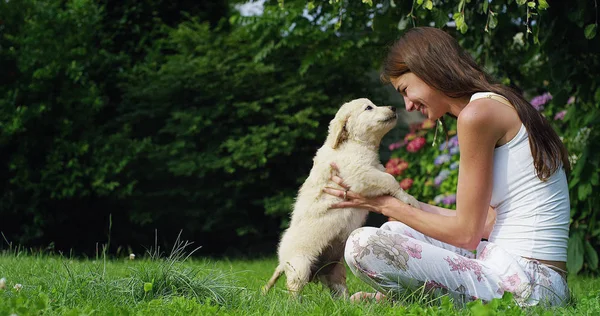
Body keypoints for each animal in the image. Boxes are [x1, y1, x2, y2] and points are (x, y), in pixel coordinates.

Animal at [262, 98, 422, 298]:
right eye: (368, 108)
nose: (393, 108)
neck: (354, 143)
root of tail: (282, 262)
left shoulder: (373, 169)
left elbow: (387, 175)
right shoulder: (360, 174)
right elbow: (389, 179)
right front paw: (409, 199)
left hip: (335, 269)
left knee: (339, 292)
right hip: (299, 266)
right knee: (293, 289)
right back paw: (295, 303)